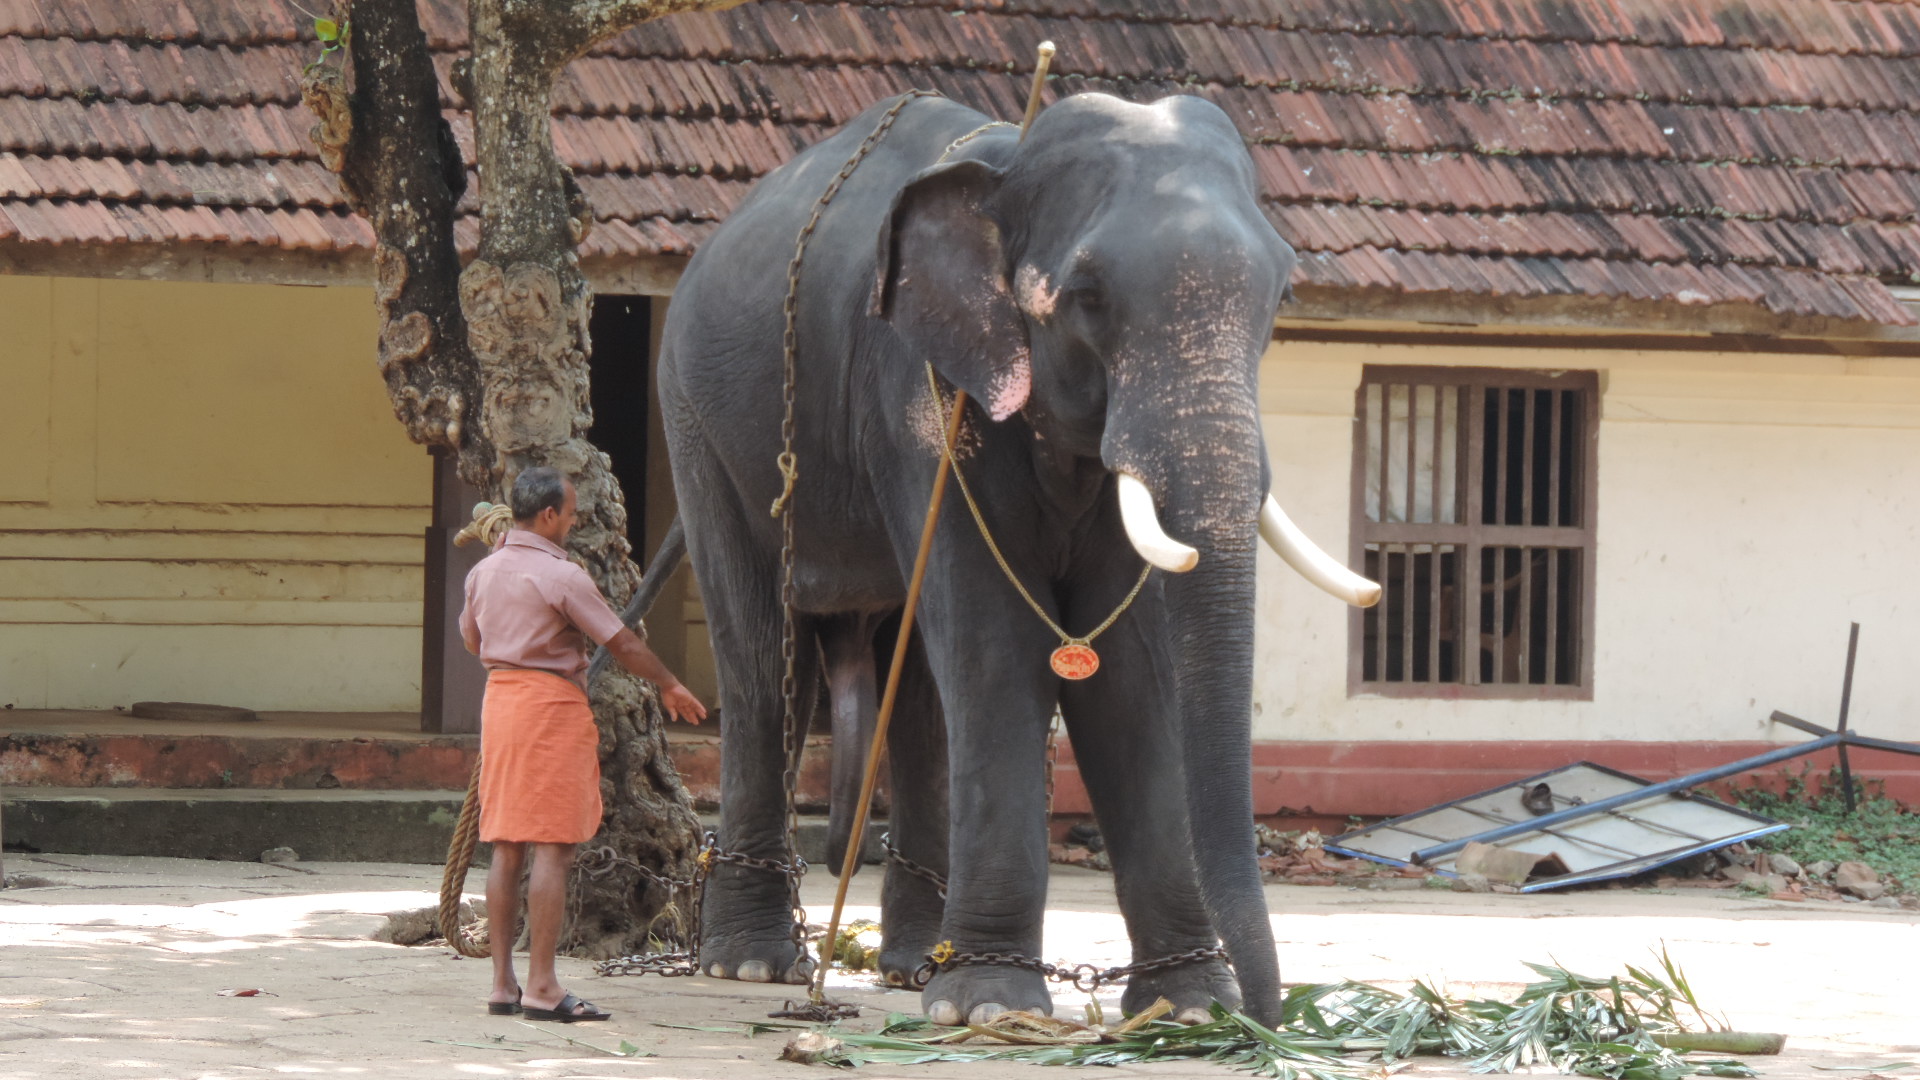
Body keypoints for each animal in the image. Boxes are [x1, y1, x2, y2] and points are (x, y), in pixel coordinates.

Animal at [652, 90, 1374, 1022]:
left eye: (1283, 293)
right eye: (1089, 297)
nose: (1260, 1017)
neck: (1008, 165)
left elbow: (1132, 666)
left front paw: (1183, 1007)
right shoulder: (921, 393)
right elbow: (996, 641)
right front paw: (992, 1008)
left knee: (914, 681)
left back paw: (912, 964)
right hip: (696, 422)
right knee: (763, 652)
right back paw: (753, 964)